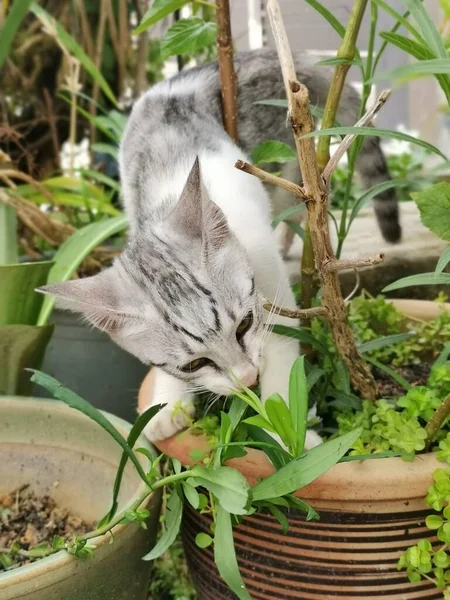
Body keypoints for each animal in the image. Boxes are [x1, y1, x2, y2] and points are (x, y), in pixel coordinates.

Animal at [40, 50, 400, 446]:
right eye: (194, 364)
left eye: (244, 325)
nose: (247, 378)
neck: (164, 199)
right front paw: (168, 403)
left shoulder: (268, 285)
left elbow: (281, 355)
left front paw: (289, 435)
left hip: (291, 158)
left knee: (304, 199)